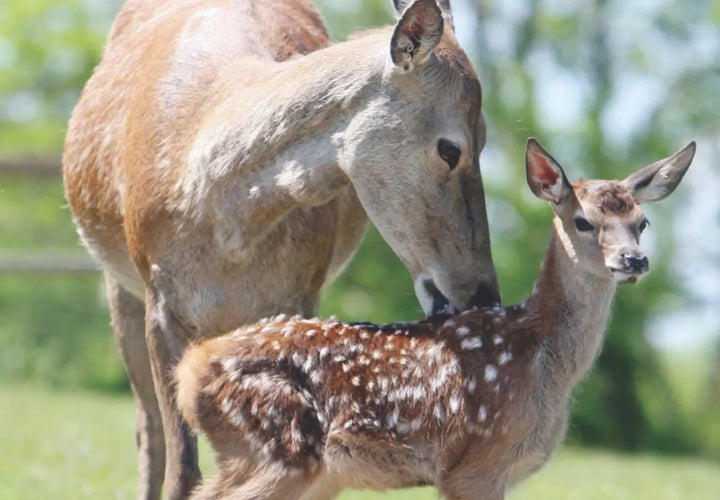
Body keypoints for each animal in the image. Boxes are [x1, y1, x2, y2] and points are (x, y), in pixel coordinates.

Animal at [63, 0, 501, 497]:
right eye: (450, 148)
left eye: (486, 138)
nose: (484, 293)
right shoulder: (158, 296)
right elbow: (183, 469)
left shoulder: (299, 295)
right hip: (118, 285)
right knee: (148, 428)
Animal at [174, 138, 695, 499]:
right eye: (583, 221)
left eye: (642, 222)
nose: (634, 260)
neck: (541, 355)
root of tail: (191, 367)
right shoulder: (474, 465)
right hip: (276, 442)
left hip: (303, 467)